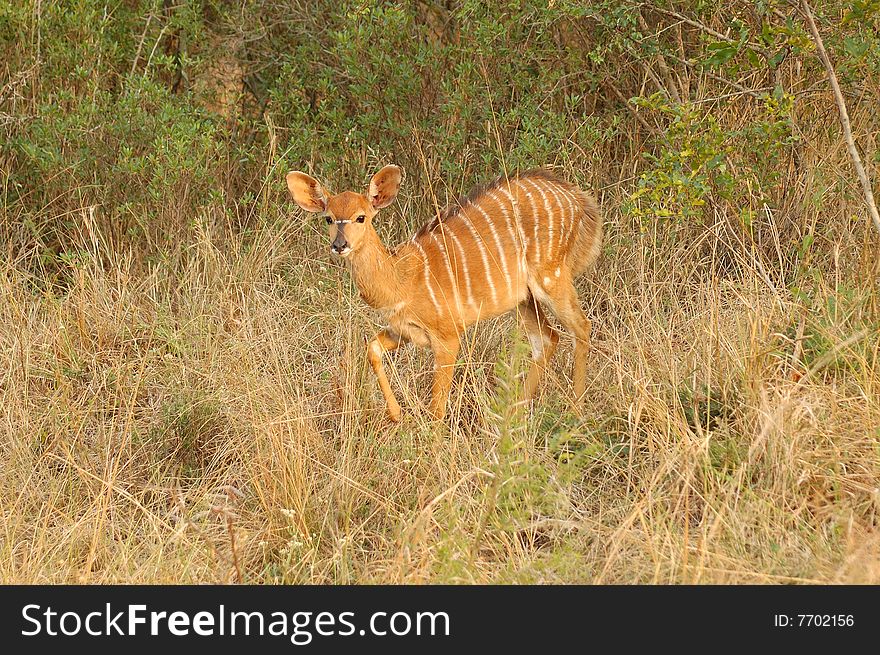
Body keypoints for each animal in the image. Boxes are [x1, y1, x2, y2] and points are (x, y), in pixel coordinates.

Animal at [286, 167, 600, 422]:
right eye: (328, 219)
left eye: (360, 217)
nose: (339, 245)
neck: (402, 279)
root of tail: (577, 199)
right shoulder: (402, 331)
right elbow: (372, 349)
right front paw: (396, 414)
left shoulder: (448, 336)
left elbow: (437, 408)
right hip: (523, 298)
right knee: (547, 338)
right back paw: (512, 414)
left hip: (551, 278)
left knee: (581, 327)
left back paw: (576, 411)